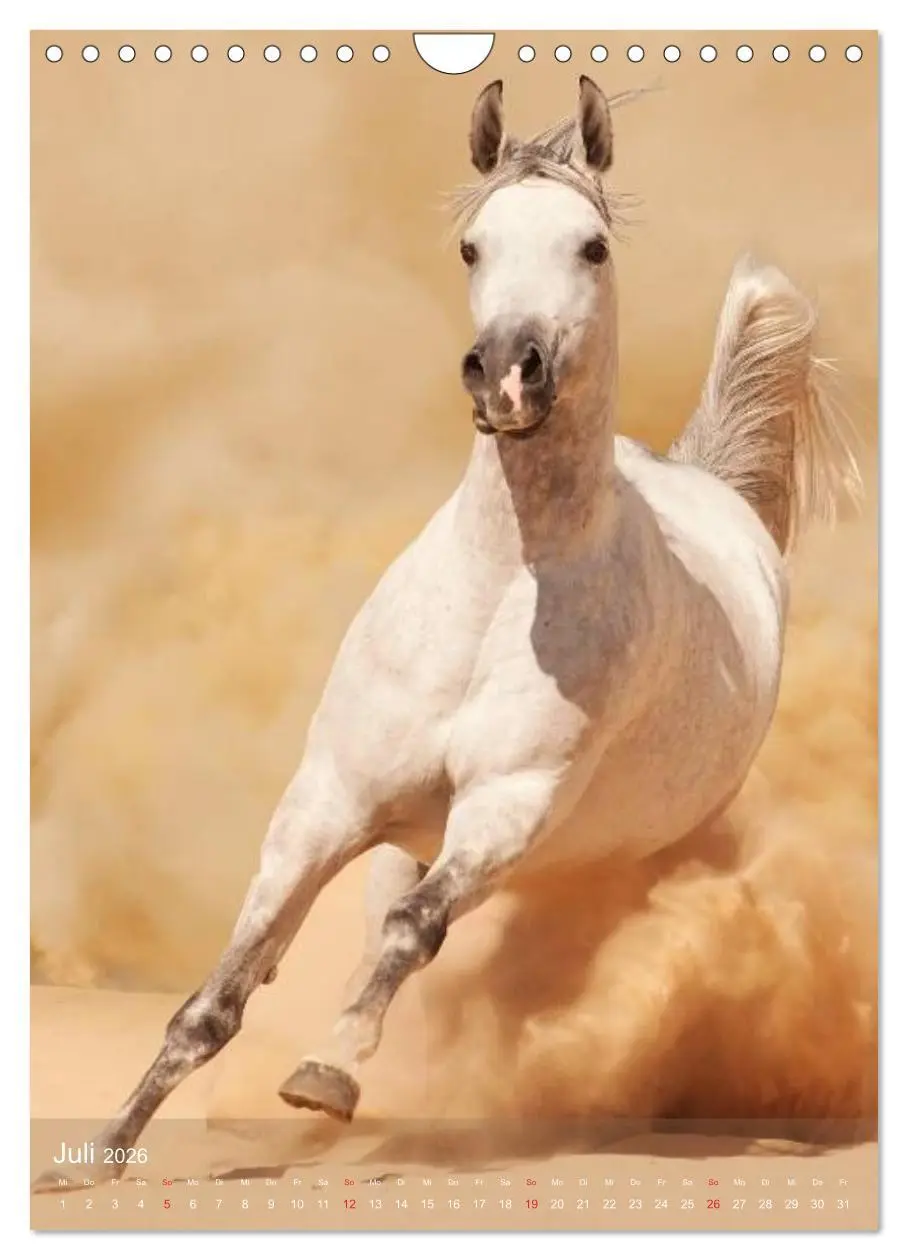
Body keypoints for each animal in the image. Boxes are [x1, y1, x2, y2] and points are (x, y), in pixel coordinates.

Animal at [33, 74, 860, 1189]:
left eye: (591, 246)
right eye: (473, 246)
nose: (506, 371)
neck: (500, 593)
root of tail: (709, 482)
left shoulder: (505, 809)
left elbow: (410, 934)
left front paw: (324, 1077)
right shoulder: (325, 803)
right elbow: (219, 997)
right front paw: (98, 1156)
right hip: (404, 826)